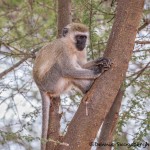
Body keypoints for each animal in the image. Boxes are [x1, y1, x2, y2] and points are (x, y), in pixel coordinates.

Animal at [32, 22, 111, 150]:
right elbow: (68, 70)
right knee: (63, 70)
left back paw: (87, 89)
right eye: (79, 37)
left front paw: (100, 60)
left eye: (84, 37)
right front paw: (98, 71)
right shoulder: (63, 50)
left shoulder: (81, 51)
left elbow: (81, 65)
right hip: (50, 81)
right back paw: (89, 86)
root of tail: (40, 86)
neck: (70, 45)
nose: (83, 43)